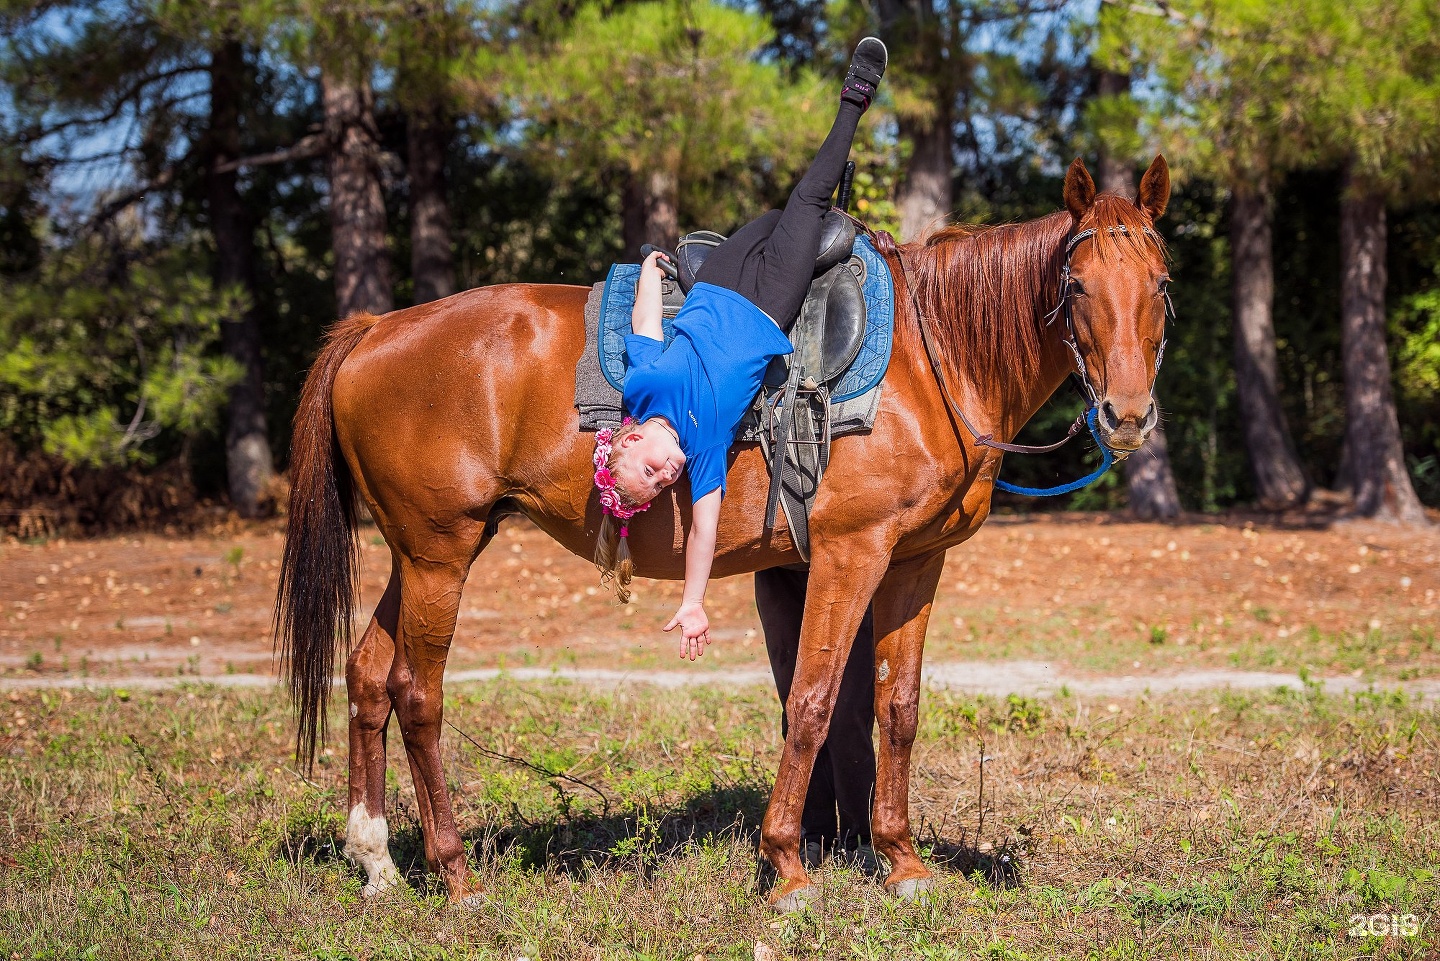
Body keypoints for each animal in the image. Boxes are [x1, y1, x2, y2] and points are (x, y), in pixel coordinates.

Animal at [277, 156, 1169, 910]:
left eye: (1161, 283)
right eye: (1077, 285)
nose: (1126, 415)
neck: (934, 356)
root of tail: (374, 329)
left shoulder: (916, 562)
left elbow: (897, 705)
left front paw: (902, 860)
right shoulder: (851, 552)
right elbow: (812, 700)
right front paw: (788, 865)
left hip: (423, 552)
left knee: (366, 675)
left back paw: (377, 860)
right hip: (441, 552)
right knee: (416, 693)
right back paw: (456, 873)